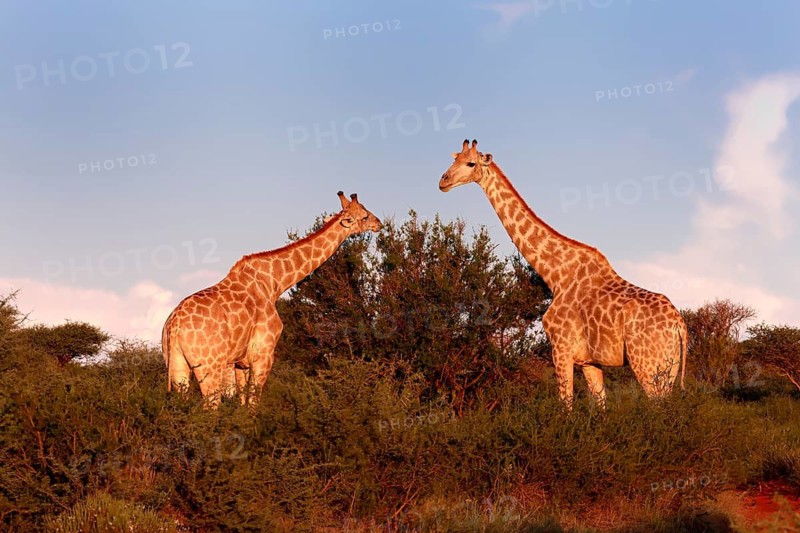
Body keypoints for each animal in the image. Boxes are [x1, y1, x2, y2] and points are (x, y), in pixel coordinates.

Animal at [161, 191, 382, 406]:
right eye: (364, 216)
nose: (379, 223)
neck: (275, 283)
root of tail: (174, 326)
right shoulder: (264, 355)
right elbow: (253, 404)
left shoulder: (241, 363)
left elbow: (242, 404)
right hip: (209, 366)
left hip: (177, 366)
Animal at [439, 140, 688, 408]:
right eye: (454, 159)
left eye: (470, 163)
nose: (443, 181)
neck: (555, 274)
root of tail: (679, 325)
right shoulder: (589, 361)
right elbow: (601, 406)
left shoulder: (561, 348)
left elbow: (565, 405)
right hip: (668, 369)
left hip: (648, 365)